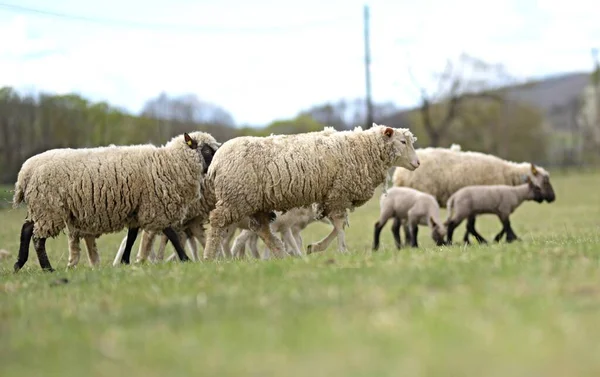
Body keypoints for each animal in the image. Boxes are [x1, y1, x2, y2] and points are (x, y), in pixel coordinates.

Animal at [12, 131, 218, 272]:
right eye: (208, 150)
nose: (218, 165)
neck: (169, 163)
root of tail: (25, 172)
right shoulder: (155, 206)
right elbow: (171, 233)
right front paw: (185, 259)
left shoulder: (137, 208)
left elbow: (132, 236)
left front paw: (125, 261)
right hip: (48, 207)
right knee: (38, 238)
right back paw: (47, 268)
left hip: (40, 207)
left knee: (26, 229)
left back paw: (18, 263)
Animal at [200, 123, 418, 258]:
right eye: (403, 142)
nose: (417, 163)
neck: (361, 149)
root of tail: (216, 162)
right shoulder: (338, 193)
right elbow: (339, 225)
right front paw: (342, 250)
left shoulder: (331, 196)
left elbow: (338, 225)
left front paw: (315, 247)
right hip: (235, 198)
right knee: (217, 222)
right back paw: (209, 257)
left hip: (253, 202)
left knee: (262, 229)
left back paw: (282, 254)